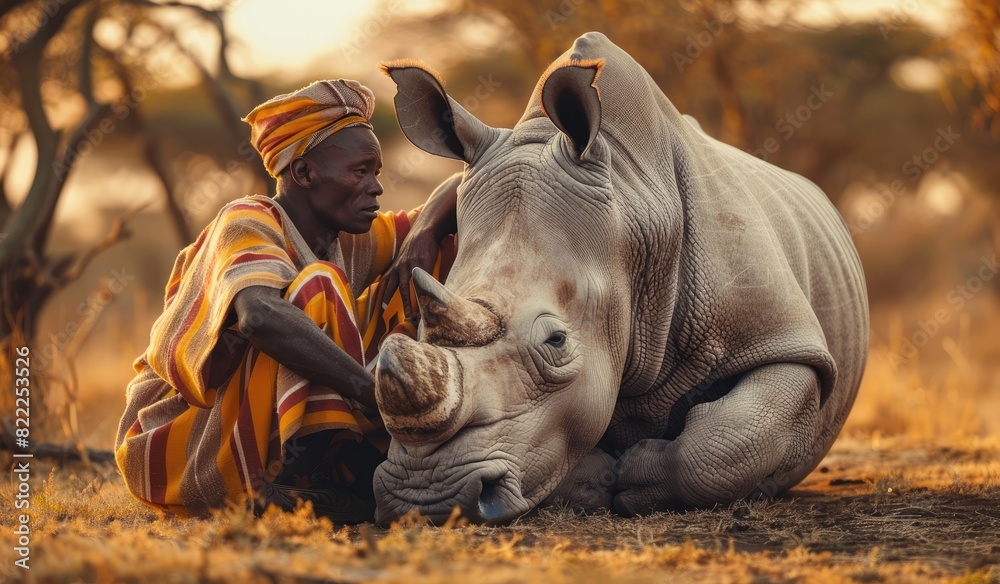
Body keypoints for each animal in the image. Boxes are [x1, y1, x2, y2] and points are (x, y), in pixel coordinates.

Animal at [372, 32, 872, 524]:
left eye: (556, 341)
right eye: (417, 324)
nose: (426, 496)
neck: (635, 207)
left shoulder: (782, 340)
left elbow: (723, 443)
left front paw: (638, 472)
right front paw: (601, 475)